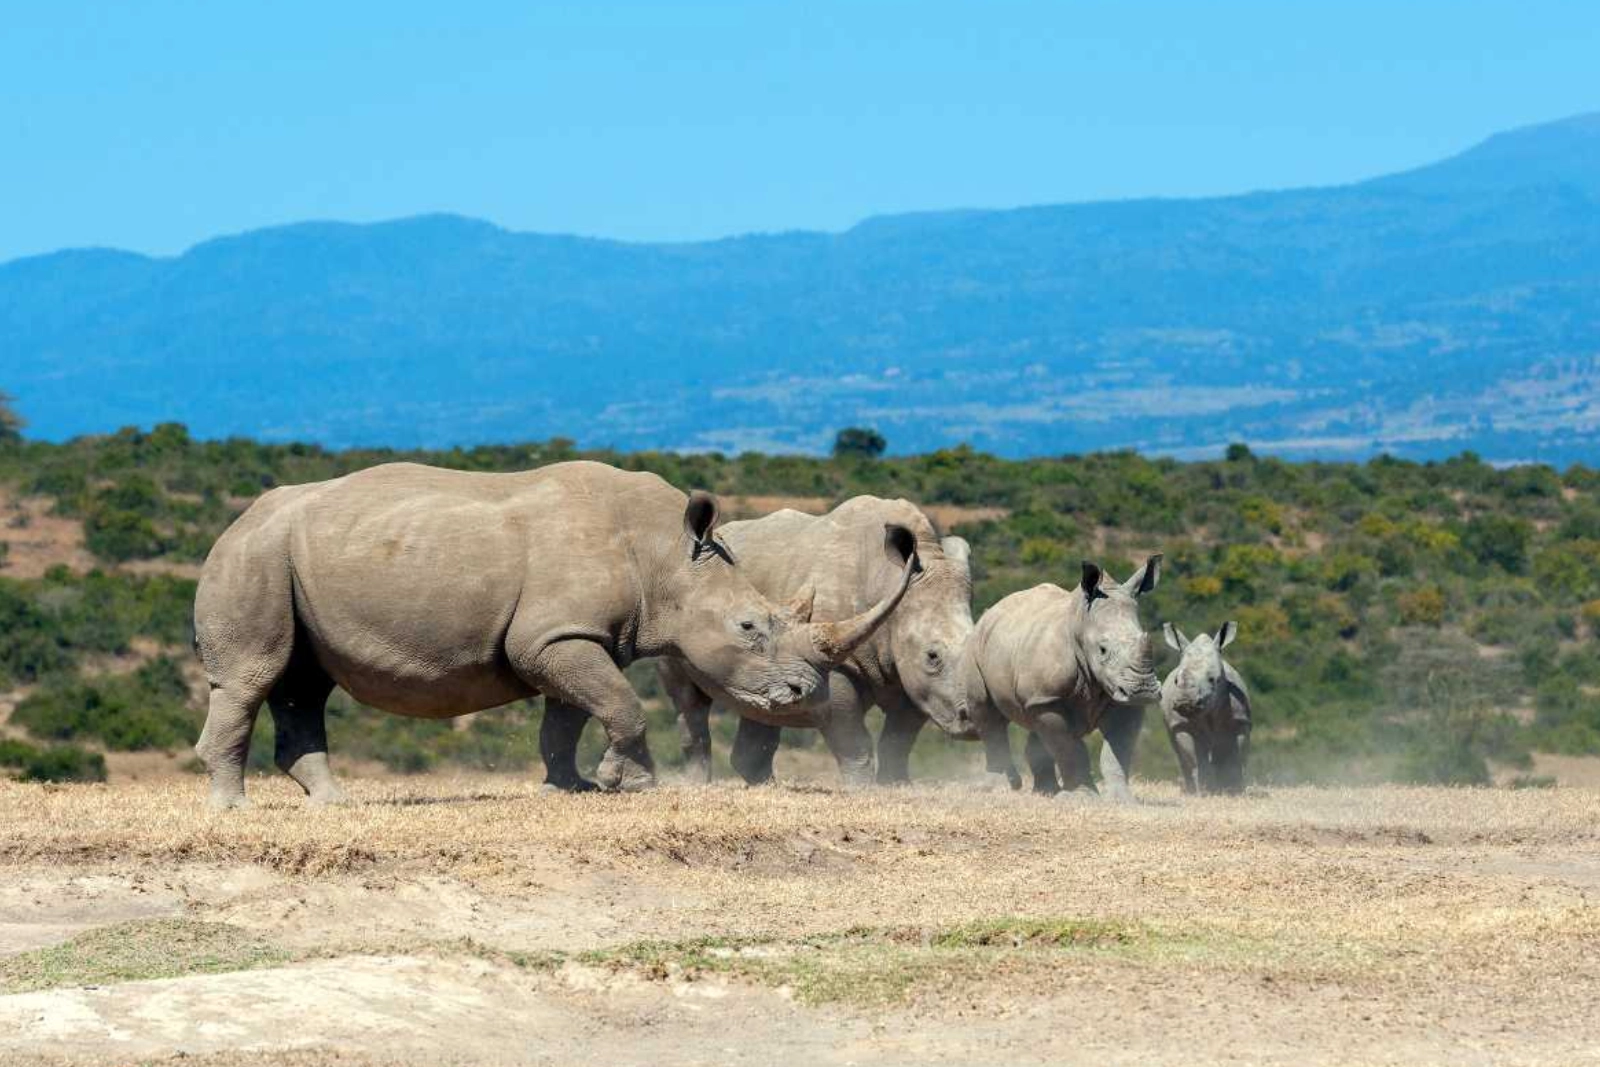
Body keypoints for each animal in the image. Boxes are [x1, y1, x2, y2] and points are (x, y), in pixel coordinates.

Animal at [191, 461, 917, 808]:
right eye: (749, 626)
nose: (800, 692)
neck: (666, 555)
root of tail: (238, 520)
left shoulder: (571, 637)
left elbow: (567, 717)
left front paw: (574, 788)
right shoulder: (555, 636)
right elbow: (619, 702)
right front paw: (631, 784)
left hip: (290, 558)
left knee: (303, 685)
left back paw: (333, 803)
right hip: (255, 556)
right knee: (253, 677)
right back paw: (235, 808)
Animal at [657, 497, 975, 788]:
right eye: (932, 656)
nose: (972, 721)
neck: (888, 580)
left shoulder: (913, 680)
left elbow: (898, 740)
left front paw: (896, 786)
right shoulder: (833, 663)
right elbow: (854, 742)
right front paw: (861, 789)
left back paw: (768, 787)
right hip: (679, 606)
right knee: (688, 698)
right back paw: (699, 785)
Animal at [961, 557, 1162, 801]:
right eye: (1102, 650)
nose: (1143, 691)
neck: (1080, 624)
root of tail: (990, 613)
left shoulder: (1121, 696)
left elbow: (1117, 751)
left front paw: (1121, 799)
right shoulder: (1049, 698)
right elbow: (1070, 748)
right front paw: (1083, 796)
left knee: (1035, 727)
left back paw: (1046, 792)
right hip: (976, 647)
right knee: (988, 714)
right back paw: (1001, 788)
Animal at [1161, 621, 1252, 795]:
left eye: (1212, 679)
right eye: (1176, 680)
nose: (1185, 701)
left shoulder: (1240, 722)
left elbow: (1234, 758)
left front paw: (1233, 790)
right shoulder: (1181, 724)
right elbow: (1196, 759)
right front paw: (1204, 791)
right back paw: (1192, 790)